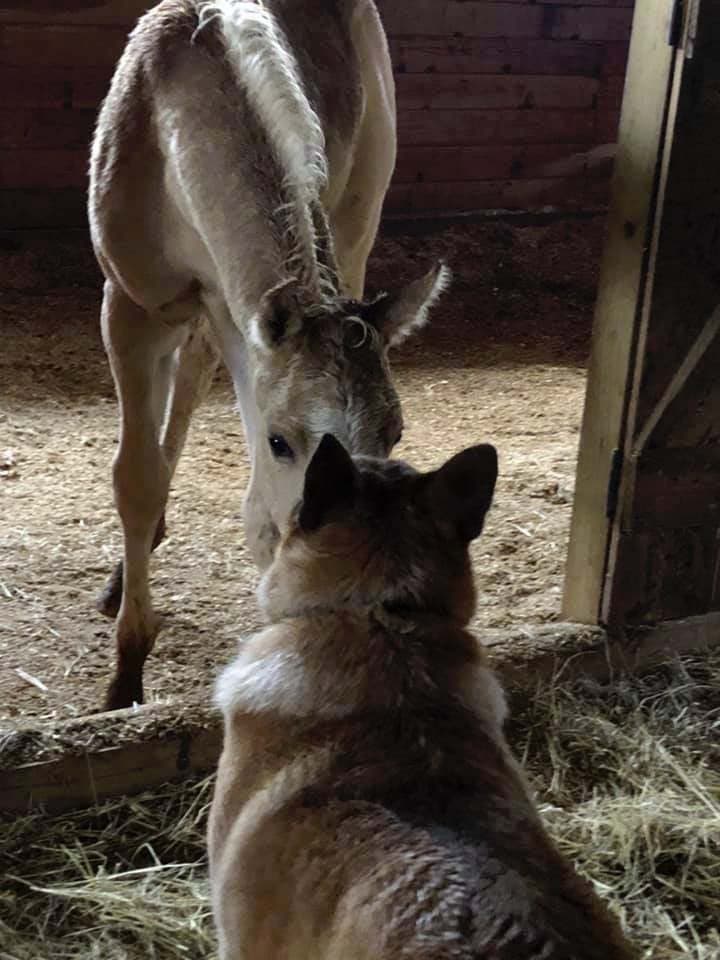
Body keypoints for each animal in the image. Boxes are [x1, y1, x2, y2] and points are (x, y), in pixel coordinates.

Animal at [89, 0, 444, 704]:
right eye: (283, 442)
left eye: (395, 434)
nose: (354, 577)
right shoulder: (132, 307)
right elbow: (135, 478)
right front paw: (125, 679)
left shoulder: (240, 312)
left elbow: (258, 513)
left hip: (350, 228)